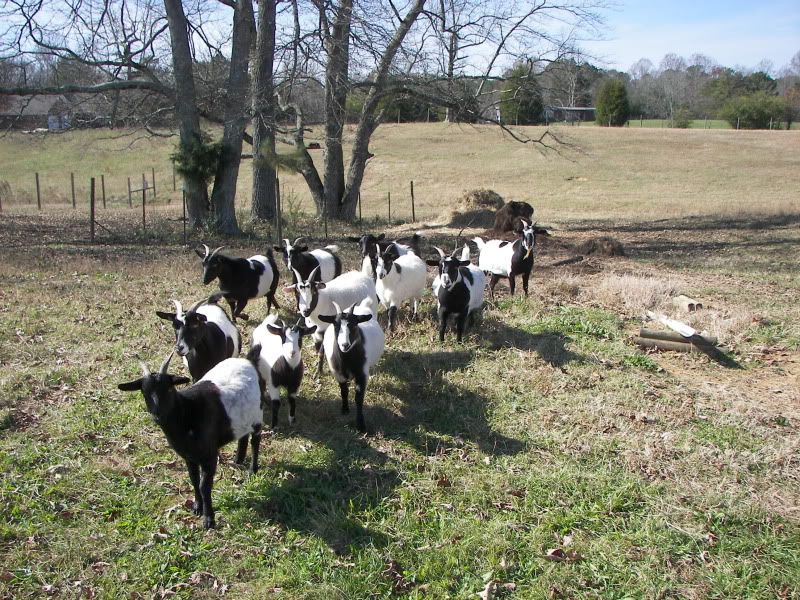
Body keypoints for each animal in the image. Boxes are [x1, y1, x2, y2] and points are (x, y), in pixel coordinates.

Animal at [117, 351, 264, 530]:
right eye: (144, 392)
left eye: (169, 388)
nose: (158, 415)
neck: (188, 412)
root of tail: (247, 361)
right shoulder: (188, 456)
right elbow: (194, 480)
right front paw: (197, 507)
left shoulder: (209, 455)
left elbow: (204, 485)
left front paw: (209, 519)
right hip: (242, 420)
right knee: (243, 436)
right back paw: (238, 460)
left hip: (258, 416)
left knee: (255, 440)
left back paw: (252, 469)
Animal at [319, 301, 385, 432]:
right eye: (336, 325)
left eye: (354, 324)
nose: (344, 345)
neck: (347, 361)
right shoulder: (338, 375)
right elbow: (344, 392)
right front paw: (345, 409)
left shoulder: (362, 375)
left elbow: (359, 398)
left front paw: (360, 425)